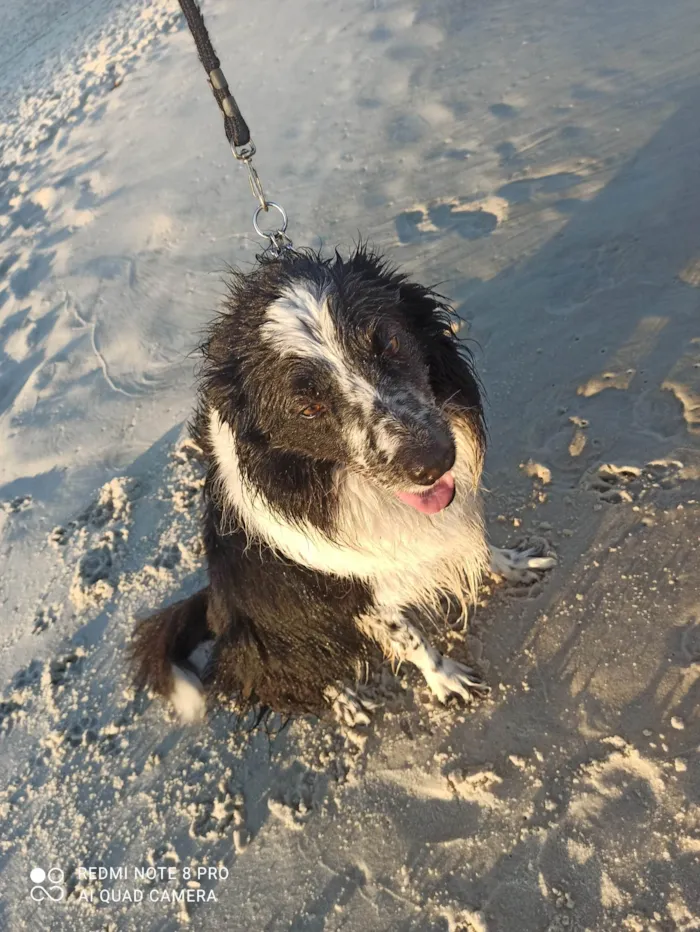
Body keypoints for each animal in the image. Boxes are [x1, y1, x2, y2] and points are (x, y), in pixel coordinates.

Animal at [131, 249, 556, 728]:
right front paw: (445, 680)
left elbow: (479, 545)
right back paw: (345, 699)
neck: (331, 481)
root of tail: (214, 608)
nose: (433, 463)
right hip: (277, 643)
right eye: (309, 407)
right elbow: (412, 641)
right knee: (296, 678)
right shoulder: (357, 599)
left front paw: (512, 564)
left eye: (388, 343)